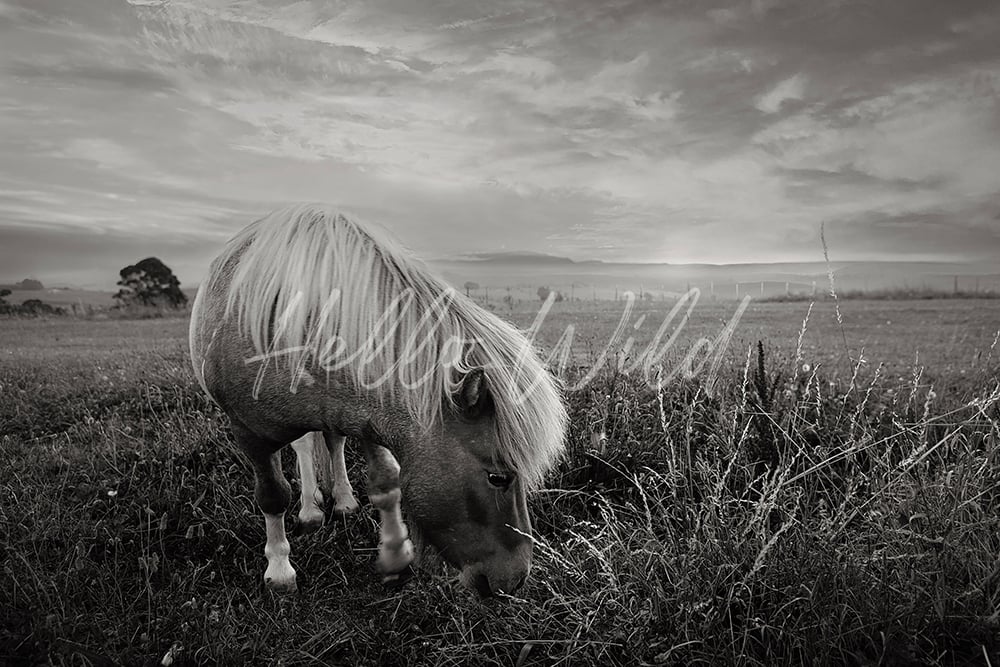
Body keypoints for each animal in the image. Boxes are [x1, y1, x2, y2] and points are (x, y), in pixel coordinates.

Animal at [189, 204, 567, 597]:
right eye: (497, 478)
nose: (517, 578)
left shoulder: (370, 416)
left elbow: (387, 483)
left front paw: (396, 553)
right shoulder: (249, 434)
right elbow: (273, 496)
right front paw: (279, 569)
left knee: (331, 442)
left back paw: (341, 500)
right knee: (305, 448)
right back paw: (310, 510)